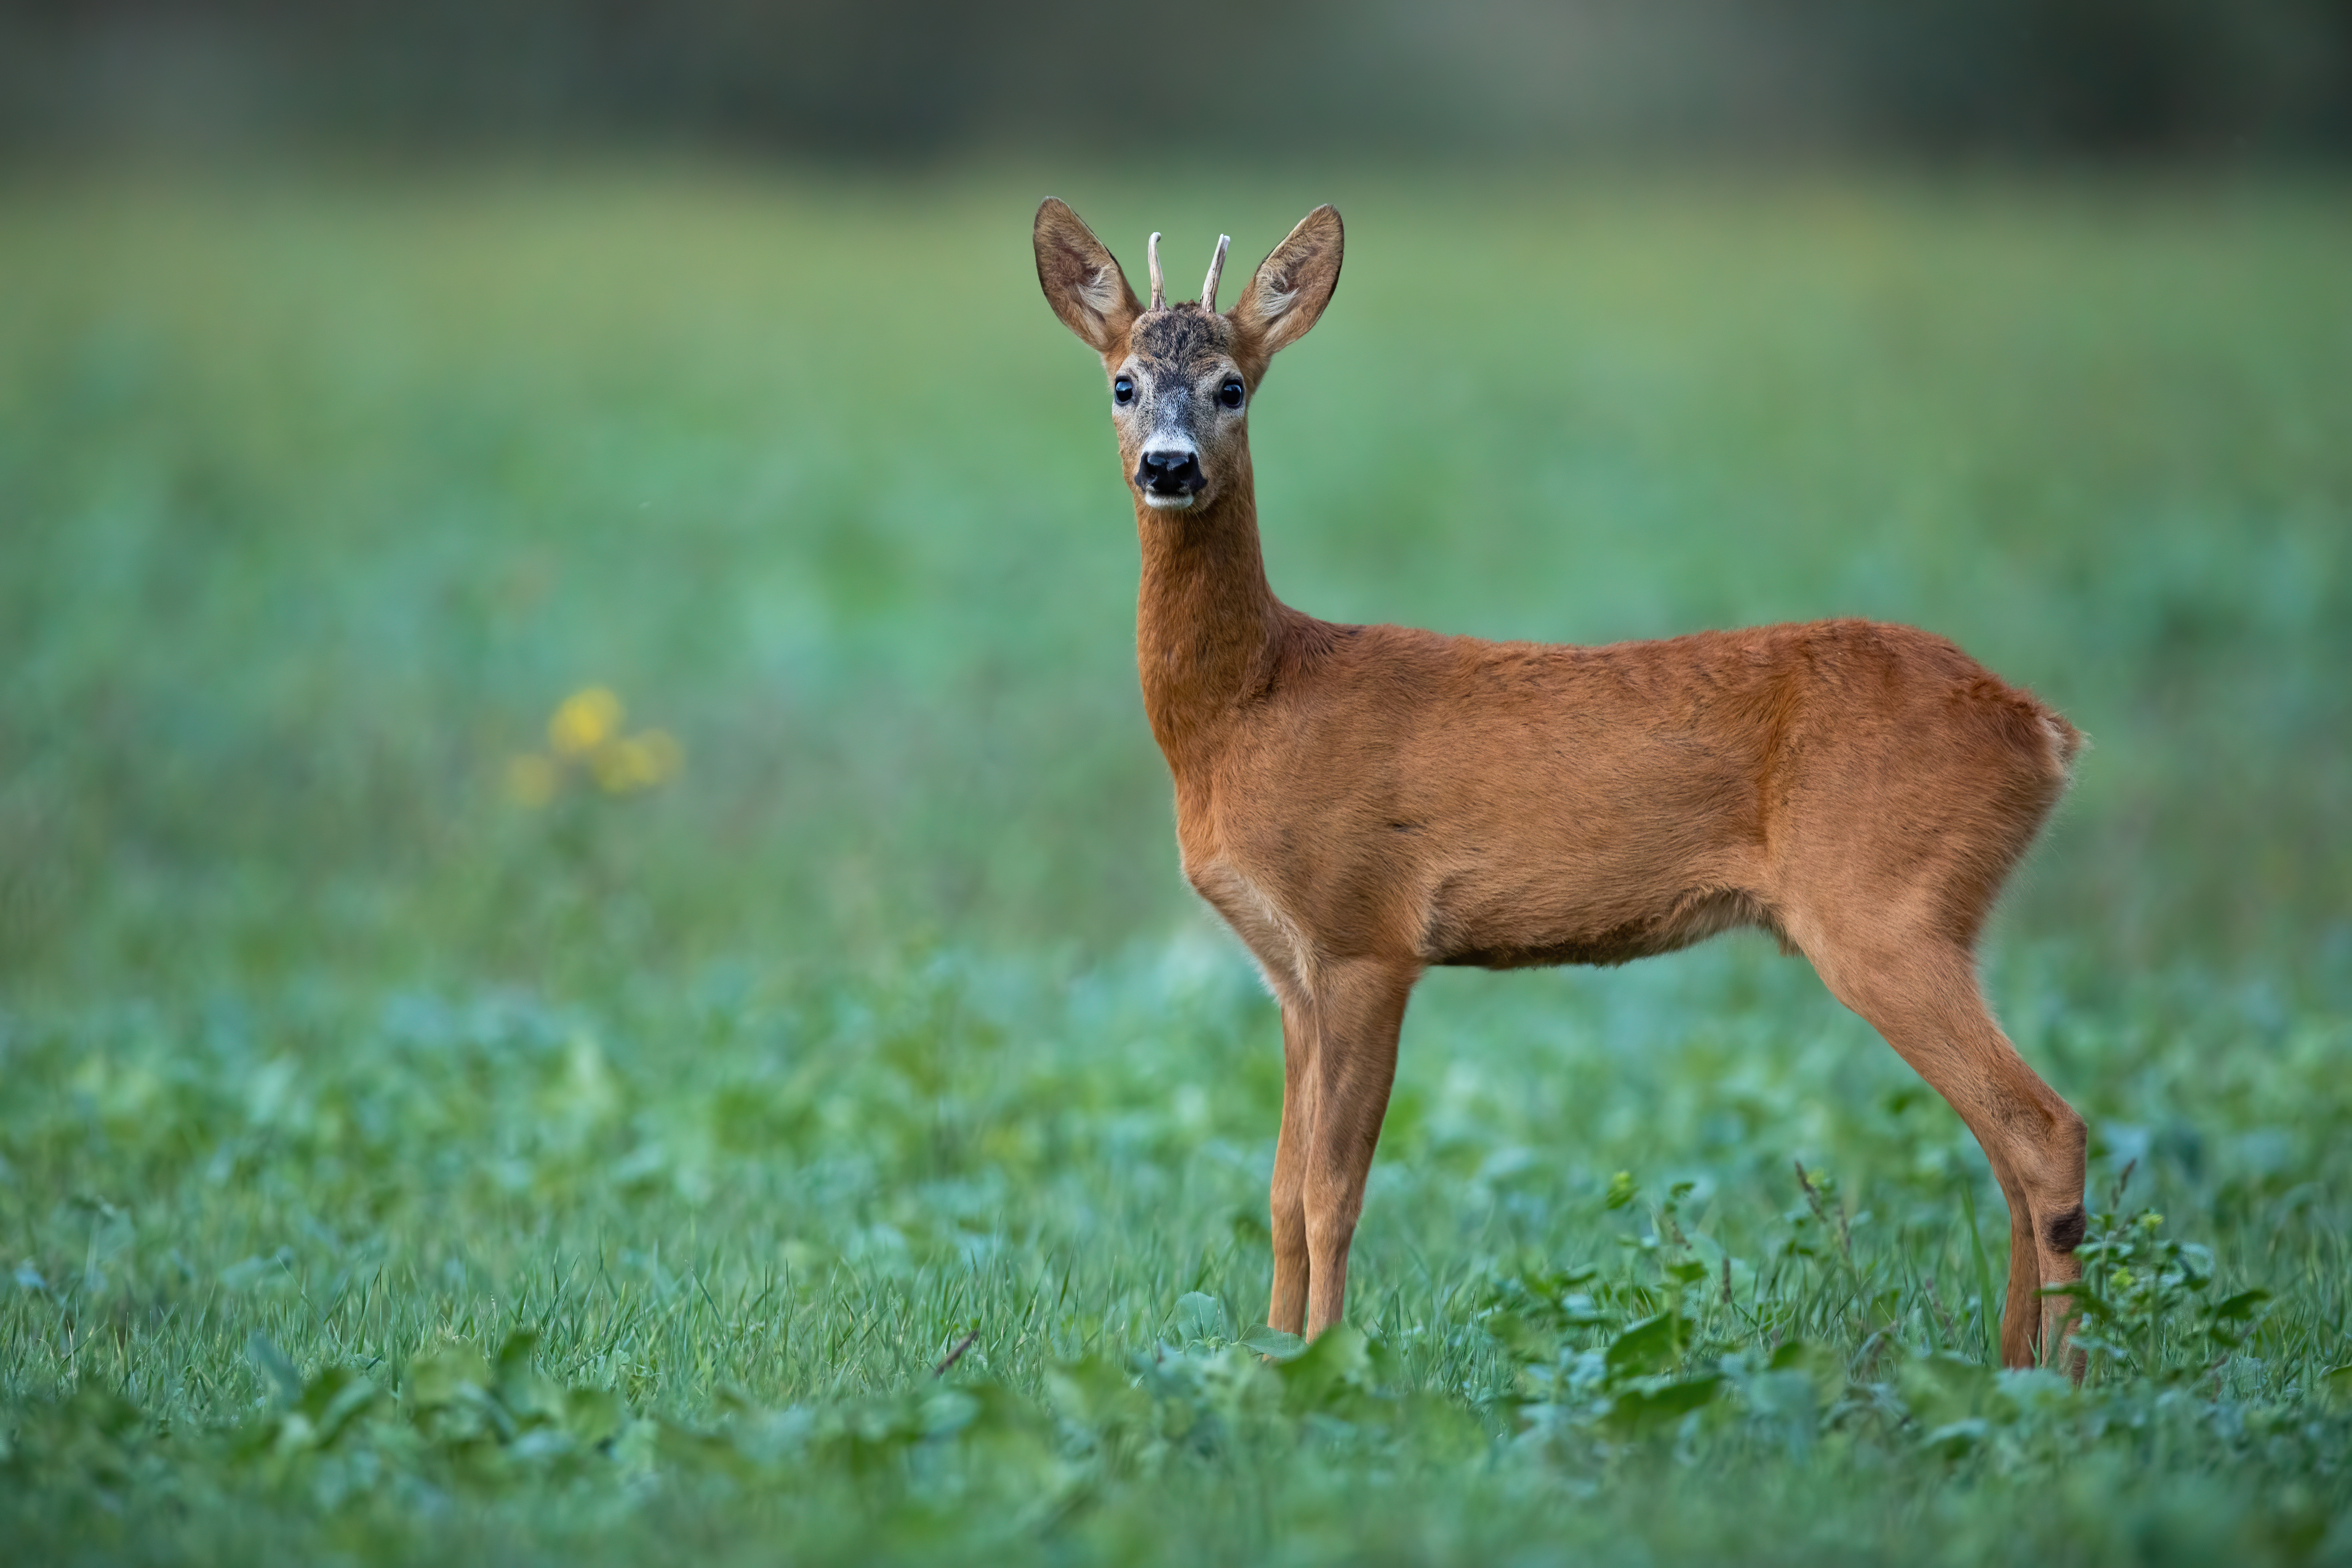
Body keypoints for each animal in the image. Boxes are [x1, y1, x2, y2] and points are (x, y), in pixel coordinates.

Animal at [1032, 197, 2089, 1372]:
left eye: (1230, 387)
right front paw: (1268, 1358)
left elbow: (1329, 1194)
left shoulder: (1365, 935)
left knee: (2044, 1130)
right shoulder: (1289, 968)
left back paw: (2067, 1381)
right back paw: (2013, 1368)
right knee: (2006, 1148)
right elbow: (1273, 1195)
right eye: (1123, 383)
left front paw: (1329, 1365)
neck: (1252, 705)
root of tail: (2040, 728)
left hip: (1881, 906)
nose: (1168, 467)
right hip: (1934, 914)